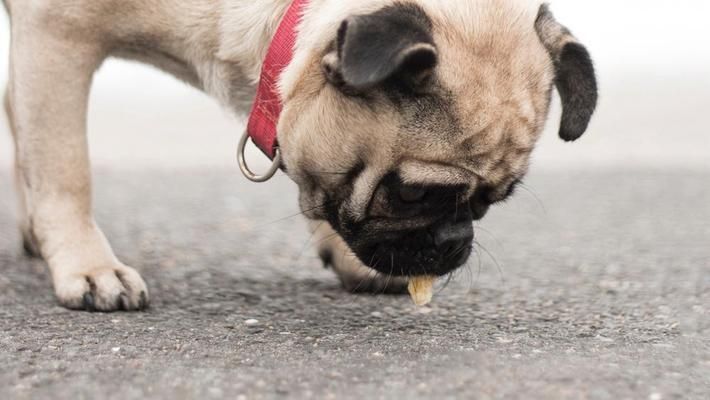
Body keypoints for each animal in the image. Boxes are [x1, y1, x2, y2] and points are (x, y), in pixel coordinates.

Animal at [2, 0, 596, 310]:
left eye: (489, 204)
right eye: (412, 194)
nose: (456, 240)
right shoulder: (58, 33)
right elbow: (65, 169)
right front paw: (90, 266)